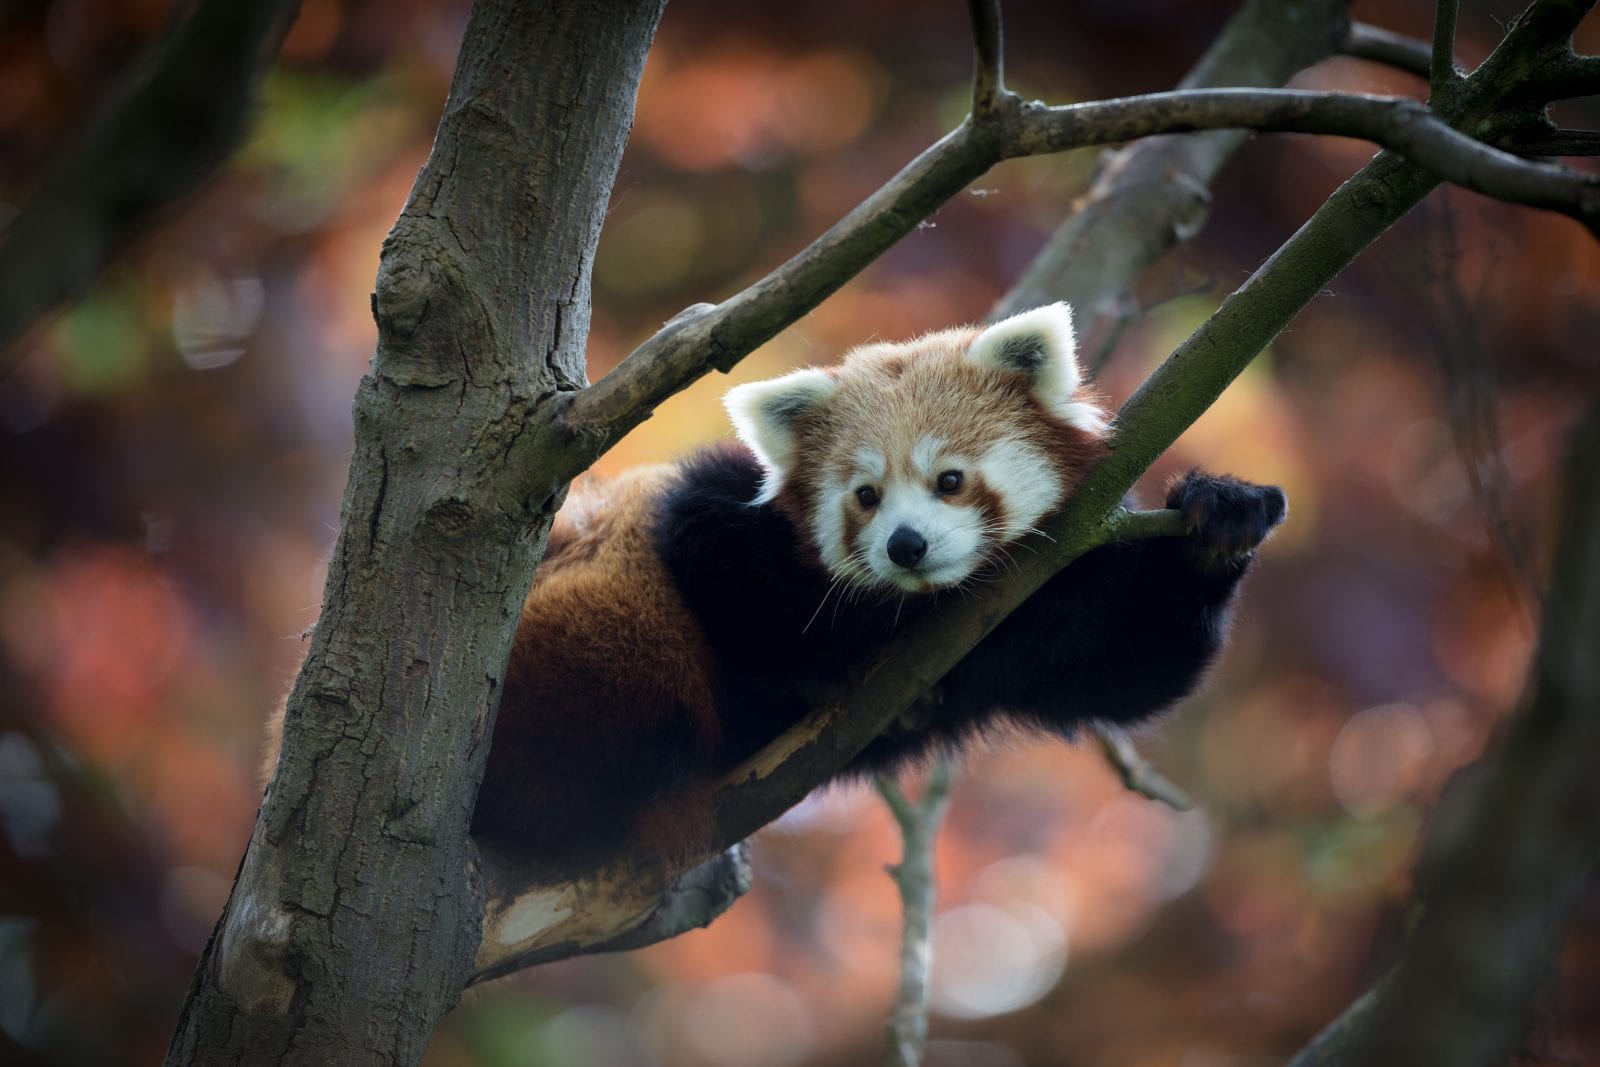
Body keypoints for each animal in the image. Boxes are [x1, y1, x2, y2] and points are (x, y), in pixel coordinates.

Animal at [464, 302, 1288, 860]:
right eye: (865, 495)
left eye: (950, 480)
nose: (906, 545)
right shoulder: (712, 514)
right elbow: (736, 574)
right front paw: (857, 646)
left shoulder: (1058, 608)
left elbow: (1133, 667)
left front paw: (1221, 518)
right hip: (593, 619)